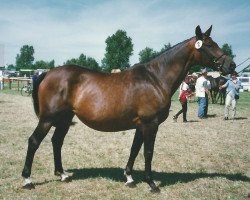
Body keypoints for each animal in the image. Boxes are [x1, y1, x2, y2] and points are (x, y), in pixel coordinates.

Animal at [22, 25, 236, 191]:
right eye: (209, 45)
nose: (231, 65)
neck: (155, 78)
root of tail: (47, 73)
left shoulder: (140, 125)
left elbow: (134, 149)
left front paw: (130, 178)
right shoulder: (151, 124)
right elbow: (148, 152)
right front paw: (151, 184)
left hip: (64, 119)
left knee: (56, 142)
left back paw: (62, 174)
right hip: (48, 118)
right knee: (34, 141)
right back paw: (27, 180)